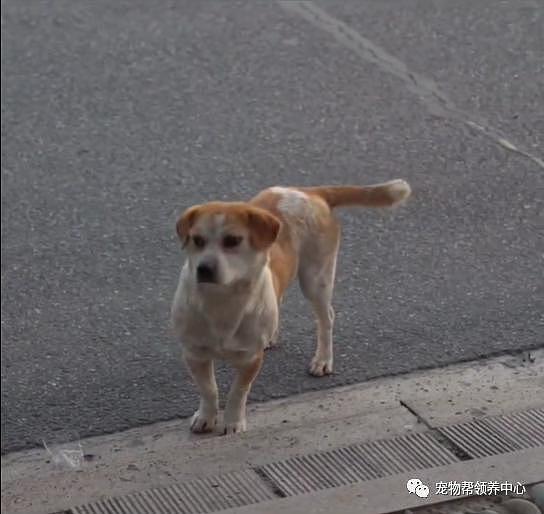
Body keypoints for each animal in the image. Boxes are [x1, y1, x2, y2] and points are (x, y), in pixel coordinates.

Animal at [172, 180, 410, 432]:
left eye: (232, 240)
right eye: (197, 240)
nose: (204, 269)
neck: (221, 302)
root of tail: (309, 191)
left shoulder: (250, 359)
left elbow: (238, 392)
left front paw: (233, 421)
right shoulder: (194, 353)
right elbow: (208, 389)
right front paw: (206, 417)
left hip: (316, 279)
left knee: (327, 318)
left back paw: (323, 359)